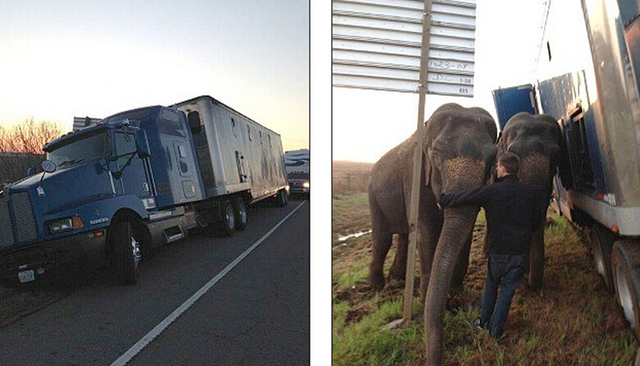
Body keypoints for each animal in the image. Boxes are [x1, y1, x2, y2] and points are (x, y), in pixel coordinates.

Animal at [368, 103, 498, 366]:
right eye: (436, 155)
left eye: (492, 158)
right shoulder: (414, 174)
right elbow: (426, 230)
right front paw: (427, 298)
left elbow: (464, 230)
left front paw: (455, 298)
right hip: (372, 195)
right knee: (383, 239)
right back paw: (377, 287)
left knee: (404, 236)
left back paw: (396, 280)